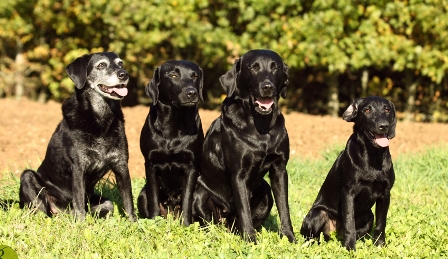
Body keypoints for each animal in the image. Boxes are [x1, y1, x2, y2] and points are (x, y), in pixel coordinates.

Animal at [18, 52, 136, 221]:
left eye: (120, 64)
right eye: (101, 65)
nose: (124, 74)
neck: (100, 120)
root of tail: (63, 212)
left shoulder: (121, 165)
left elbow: (128, 201)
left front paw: (134, 223)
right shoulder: (78, 167)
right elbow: (79, 203)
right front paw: (81, 225)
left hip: (104, 202)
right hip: (28, 178)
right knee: (43, 210)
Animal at [138, 60, 205, 226]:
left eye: (195, 76)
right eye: (174, 75)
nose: (192, 93)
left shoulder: (191, 166)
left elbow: (187, 200)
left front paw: (186, 225)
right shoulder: (150, 164)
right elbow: (153, 198)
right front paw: (154, 222)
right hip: (142, 195)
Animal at [192, 49, 298, 244]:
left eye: (275, 67)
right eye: (254, 67)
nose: (267, 86)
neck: (261, 127)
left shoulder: (279, 169)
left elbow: (284, 208)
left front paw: (289, 238)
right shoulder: (239, 174)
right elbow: (244, 211)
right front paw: (250, 241)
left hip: (265, 191)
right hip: (200, 195)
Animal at [300, 96, 396, 251]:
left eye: (387, 109)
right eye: (367, 110)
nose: (384, 125)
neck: (373, 157)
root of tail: (335, 232)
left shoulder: (385, 194)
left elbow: (381, 223)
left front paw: (380, 245)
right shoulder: (349, 192)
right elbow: (349, 222)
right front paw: (350, 248)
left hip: (368, 215)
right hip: (318, 214)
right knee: (313, 237)